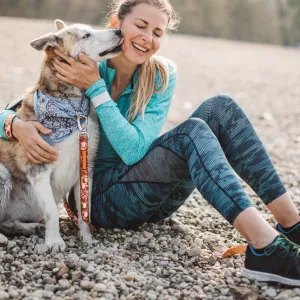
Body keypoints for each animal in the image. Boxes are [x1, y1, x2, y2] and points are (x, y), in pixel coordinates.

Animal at [0, 19, 123, 253]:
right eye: (86, 36)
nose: (120, 31)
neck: (71, 107)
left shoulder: (86, 167)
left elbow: (85, 211)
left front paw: (86, 238)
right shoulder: (38, 169)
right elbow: (51, 212)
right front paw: (54, 241)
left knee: (7, 222)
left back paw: (29, 227)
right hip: (2, 175)